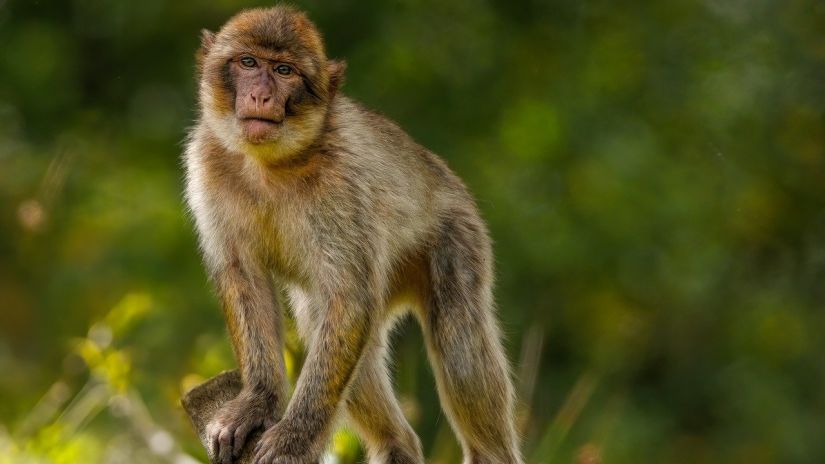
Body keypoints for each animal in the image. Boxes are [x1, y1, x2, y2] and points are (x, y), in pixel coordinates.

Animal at [185, 4, 520, 464]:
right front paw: (257, 401)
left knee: (459, 342)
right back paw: (397, 445)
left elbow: (349, 299)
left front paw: (294, 438)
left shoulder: (341, 181)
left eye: (285, 70)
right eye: (248, 63)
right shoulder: (205, 163)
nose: (261, 96)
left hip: (458, 235)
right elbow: (244, 279)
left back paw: (490, 452)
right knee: (325, 322)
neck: (269, 164)